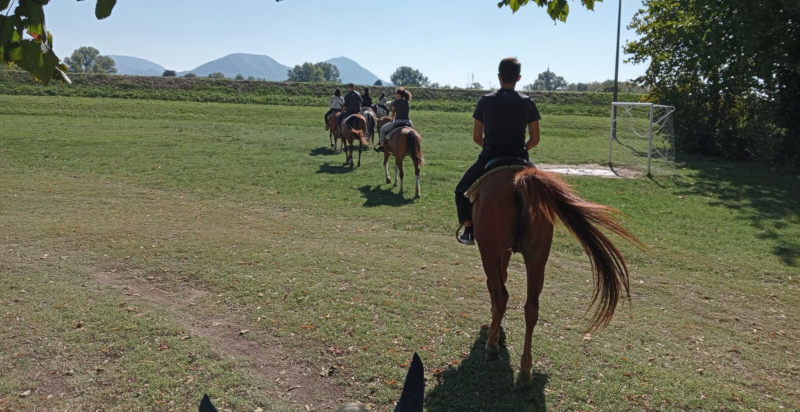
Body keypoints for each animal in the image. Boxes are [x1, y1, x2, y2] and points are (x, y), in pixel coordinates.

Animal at [468, 165, 643, 386]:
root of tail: (520, 182)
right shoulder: (506, 252)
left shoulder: (497, 252)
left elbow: (495, 285)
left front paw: (495, 330)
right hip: (537, 258)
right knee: (531, 308)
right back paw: (525, 372)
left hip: (492, 251)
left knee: (502, 295)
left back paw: (492, 347)